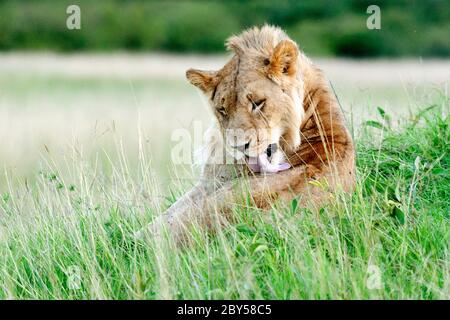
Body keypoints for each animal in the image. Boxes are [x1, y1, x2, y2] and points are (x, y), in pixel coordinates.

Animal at [136, 25, 356, 244]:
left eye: (258, 103)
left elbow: (155, 224)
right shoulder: (208, 184)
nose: (239, 147)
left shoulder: (211, 187)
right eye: (222, 109)